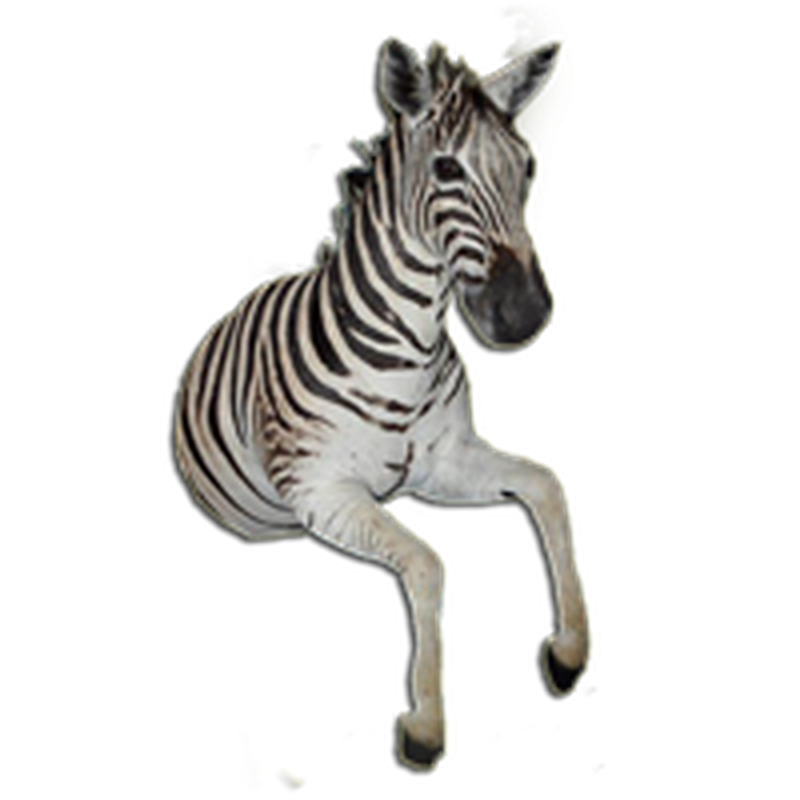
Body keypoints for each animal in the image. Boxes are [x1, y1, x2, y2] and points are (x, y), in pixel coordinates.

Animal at [172, 33, 591, 770]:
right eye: (447, 170)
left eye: (526, 166)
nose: (525, 313)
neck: (409, 349)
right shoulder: (321, 492)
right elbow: (427, 563)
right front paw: (426, 727)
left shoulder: (443, 463)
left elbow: (547, 484)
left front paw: (570, 651)